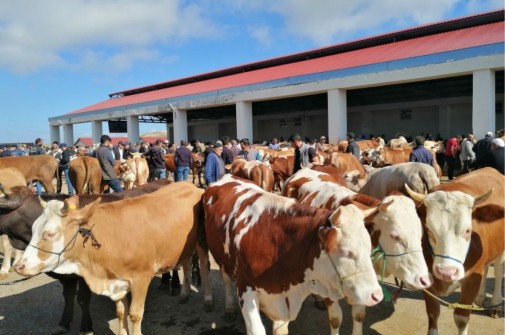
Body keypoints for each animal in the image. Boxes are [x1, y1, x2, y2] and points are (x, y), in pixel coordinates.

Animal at [13, 181, 211, 335]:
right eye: (33, 229)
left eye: (50, 233)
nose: (18, 266)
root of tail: (191, 185)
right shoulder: (117, 281)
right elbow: (121, 312)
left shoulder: (141, 278)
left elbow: (135, 314)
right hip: (184, 246)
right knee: (186, 263)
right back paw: (184, 292)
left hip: (201, 240)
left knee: (204, 266)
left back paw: (208, 300)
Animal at [202, 175, 382, 335]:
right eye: (347, 252)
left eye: (369, 248)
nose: (377, 296)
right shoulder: (245, 287)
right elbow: (256, 329)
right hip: (221, 257)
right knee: (225, 280)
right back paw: (229, 308)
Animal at [406, 168, 504, 335]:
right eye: (428, 229)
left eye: (468, 230)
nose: (447, 272)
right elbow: (433, 313)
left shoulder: (472, 278)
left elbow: (461, 318)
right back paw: (480, 297)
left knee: (498, 272)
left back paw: (496, 305)